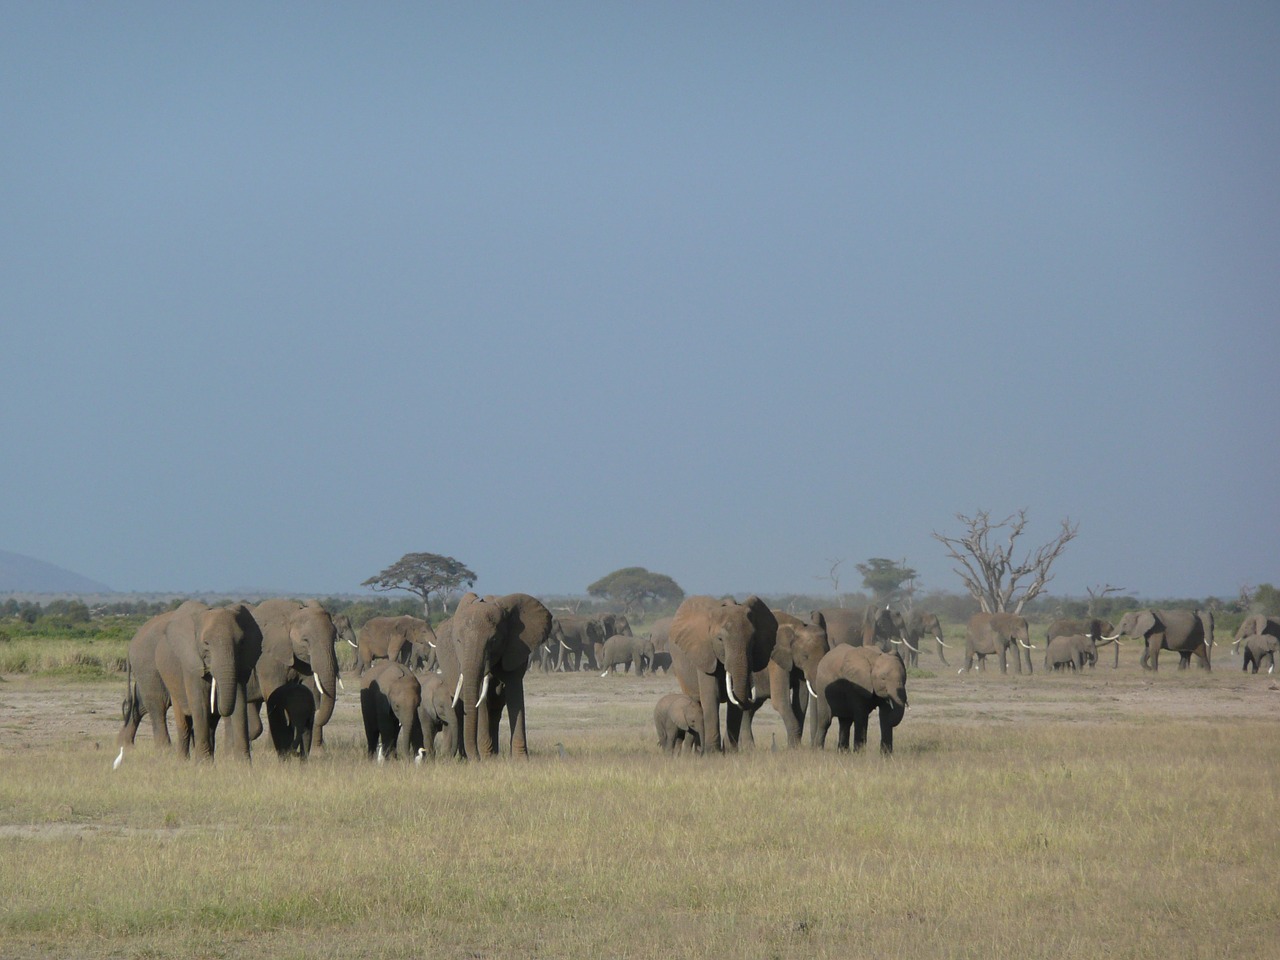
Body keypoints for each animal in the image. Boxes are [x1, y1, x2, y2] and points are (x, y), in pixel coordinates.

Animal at [146, 601, 259, 768]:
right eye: (206, 643)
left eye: (241, 642)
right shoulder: (191, 663)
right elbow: (200, 705)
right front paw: (203, 765)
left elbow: (239, 703)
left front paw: (243, 765)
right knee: (184, 723)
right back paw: (183, 761)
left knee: (210, 724)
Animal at [245, 601, 340, 752]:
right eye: (305, 640)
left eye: (335, 639)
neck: (292, 615)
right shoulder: (267, 659)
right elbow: (274, 695)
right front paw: (275, 750)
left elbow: (310, 690)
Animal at [450, 591, 550, 762]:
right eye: (458, 641)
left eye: (493, 640)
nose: (476, 759)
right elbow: (482, 700)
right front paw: (488, 759)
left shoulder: (516, 648)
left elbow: (515, 694)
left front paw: (520, 760)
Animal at [670, 593, 778, 757]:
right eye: (720, 639)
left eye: (753, 640)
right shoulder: (705, 654)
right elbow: (711, 696)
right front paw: (713, 753)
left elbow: (735, 701)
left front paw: (731, 752)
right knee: (697, 704)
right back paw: (696, 753)